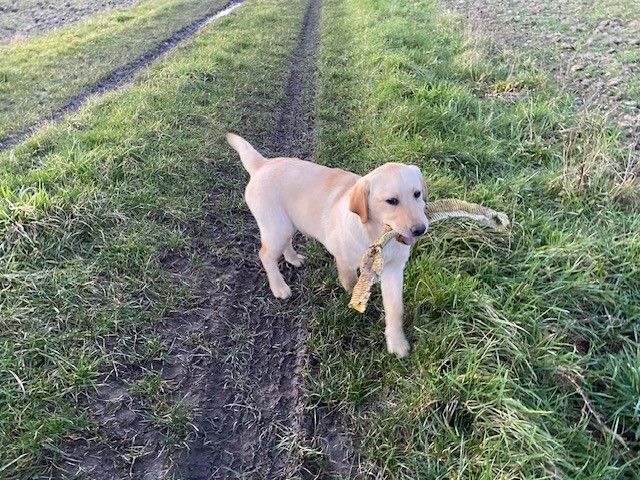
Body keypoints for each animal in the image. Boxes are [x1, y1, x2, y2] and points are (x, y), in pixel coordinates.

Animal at [228, 131, 428, 356]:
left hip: (289, 224)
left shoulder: (394, 269)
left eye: (417, 194)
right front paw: (358, 302)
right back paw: (279, 287)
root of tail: (263, 164)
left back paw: (293, 258)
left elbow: (395, 308)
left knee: (285, 243)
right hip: (276, 226)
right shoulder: (345, 262)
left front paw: (397, 342)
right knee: (265, 255)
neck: (376, 233)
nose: (420, 229)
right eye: (392, 201)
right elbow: (351, 284)